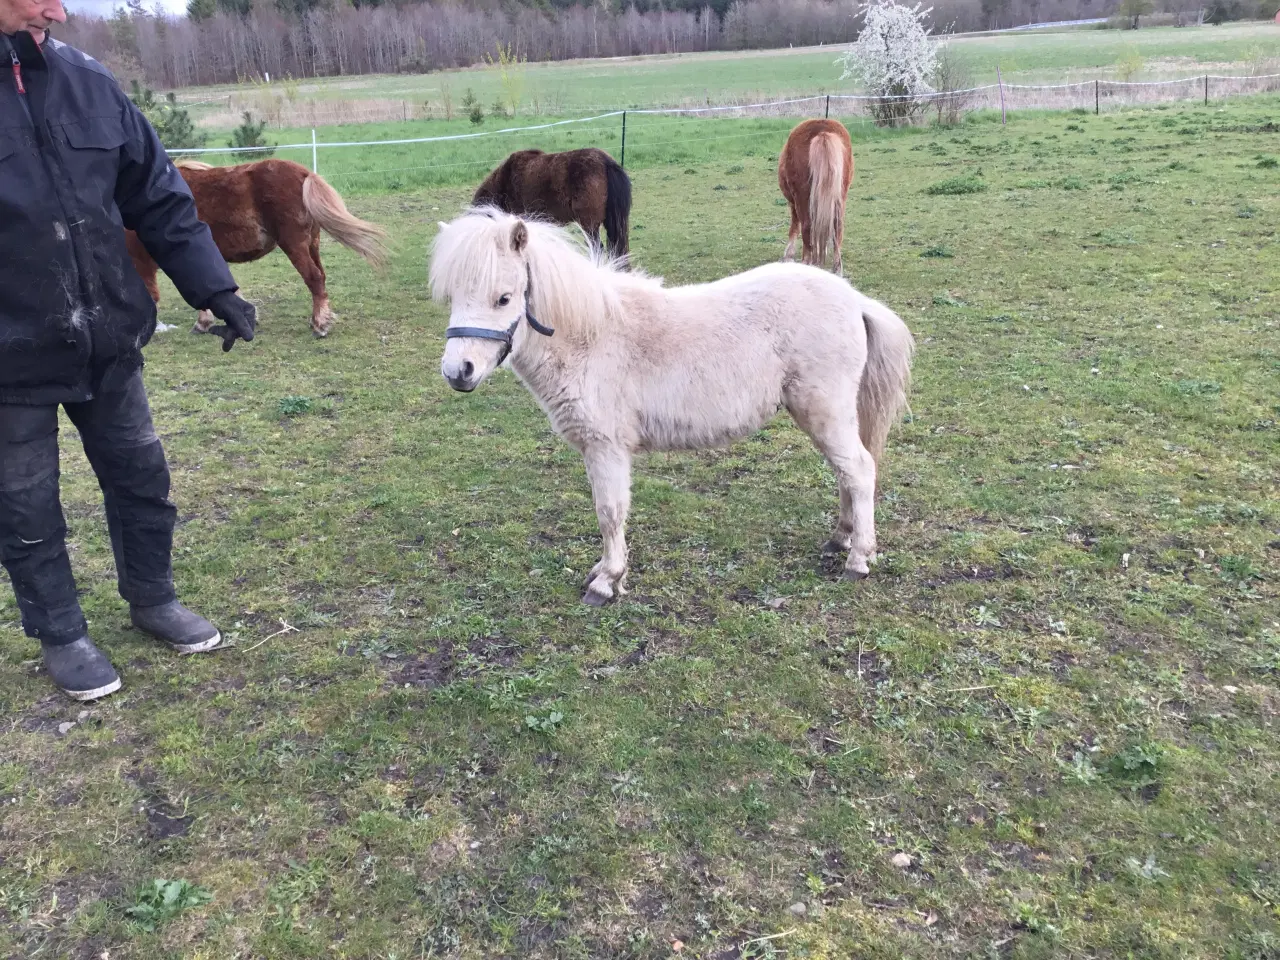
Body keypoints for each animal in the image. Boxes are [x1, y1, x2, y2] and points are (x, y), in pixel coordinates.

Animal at [130, 158, 391, 337]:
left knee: (314, 278)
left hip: (294, 245)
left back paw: (319, 326)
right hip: (312, 244)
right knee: (321, 277)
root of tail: (304, 173)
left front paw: (203, 323)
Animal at [430, 209, 911, 604]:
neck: (593, 337)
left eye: (504, 298)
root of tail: (855, 300)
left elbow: (610, 513)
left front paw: (607, 581)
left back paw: (858, 559)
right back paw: (841, 539)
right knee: (847, 473)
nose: (458, 371)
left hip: (825, 412)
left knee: (859, 470)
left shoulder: (607, 448)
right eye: (453, 297)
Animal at [773, 118, 855, 273]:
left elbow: (795, 225)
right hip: (840, 196)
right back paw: (837, 269)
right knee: (837, 227)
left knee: (807, 227)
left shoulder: (794, 202)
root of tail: (822, 131)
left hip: (802, 198)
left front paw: (788, 255)